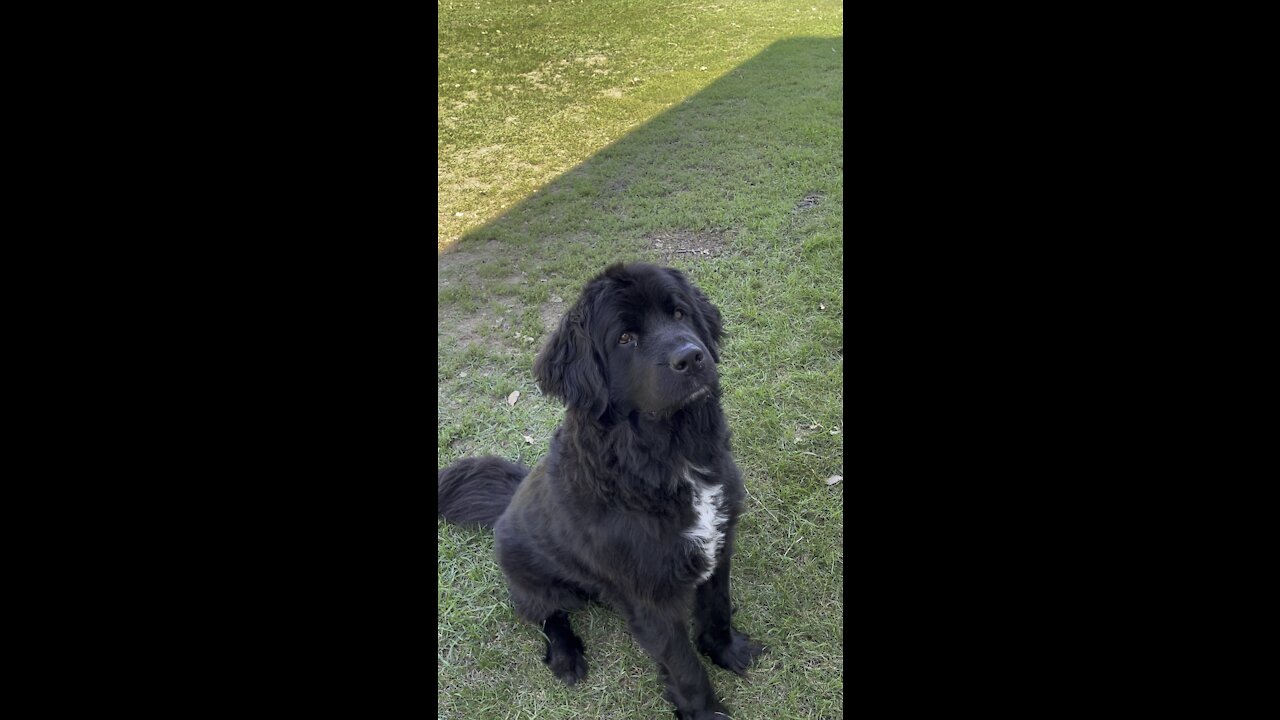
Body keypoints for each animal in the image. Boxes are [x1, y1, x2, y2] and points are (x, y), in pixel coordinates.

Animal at [437, 260, 757, 712]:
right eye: (625, 338)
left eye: (679, 313)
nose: (692, 357)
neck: (669, 458)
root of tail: (510, 499)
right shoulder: (649, 597)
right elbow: (683, 666)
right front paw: (705, 712)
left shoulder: (719, 544)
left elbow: (718, 608)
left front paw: (727, 651)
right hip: (535, 583)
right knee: (548, 616)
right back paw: (566, 656)